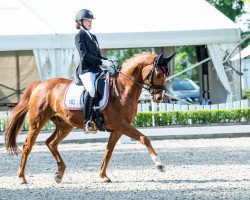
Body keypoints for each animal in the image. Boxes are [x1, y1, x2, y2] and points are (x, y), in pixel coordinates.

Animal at [4, 50, 175, 184]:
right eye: (158, 74)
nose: (159, 98)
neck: (122, 88)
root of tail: (40, 84)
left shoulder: (118, 129)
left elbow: (108, 151)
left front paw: (103, 176)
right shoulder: (121, 125)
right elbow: (144, 138)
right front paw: (159, 165)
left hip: (65, 125)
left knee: (51, 143)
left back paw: (59, 174)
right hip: (37, 122)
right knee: (28, 146)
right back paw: (22, 178)